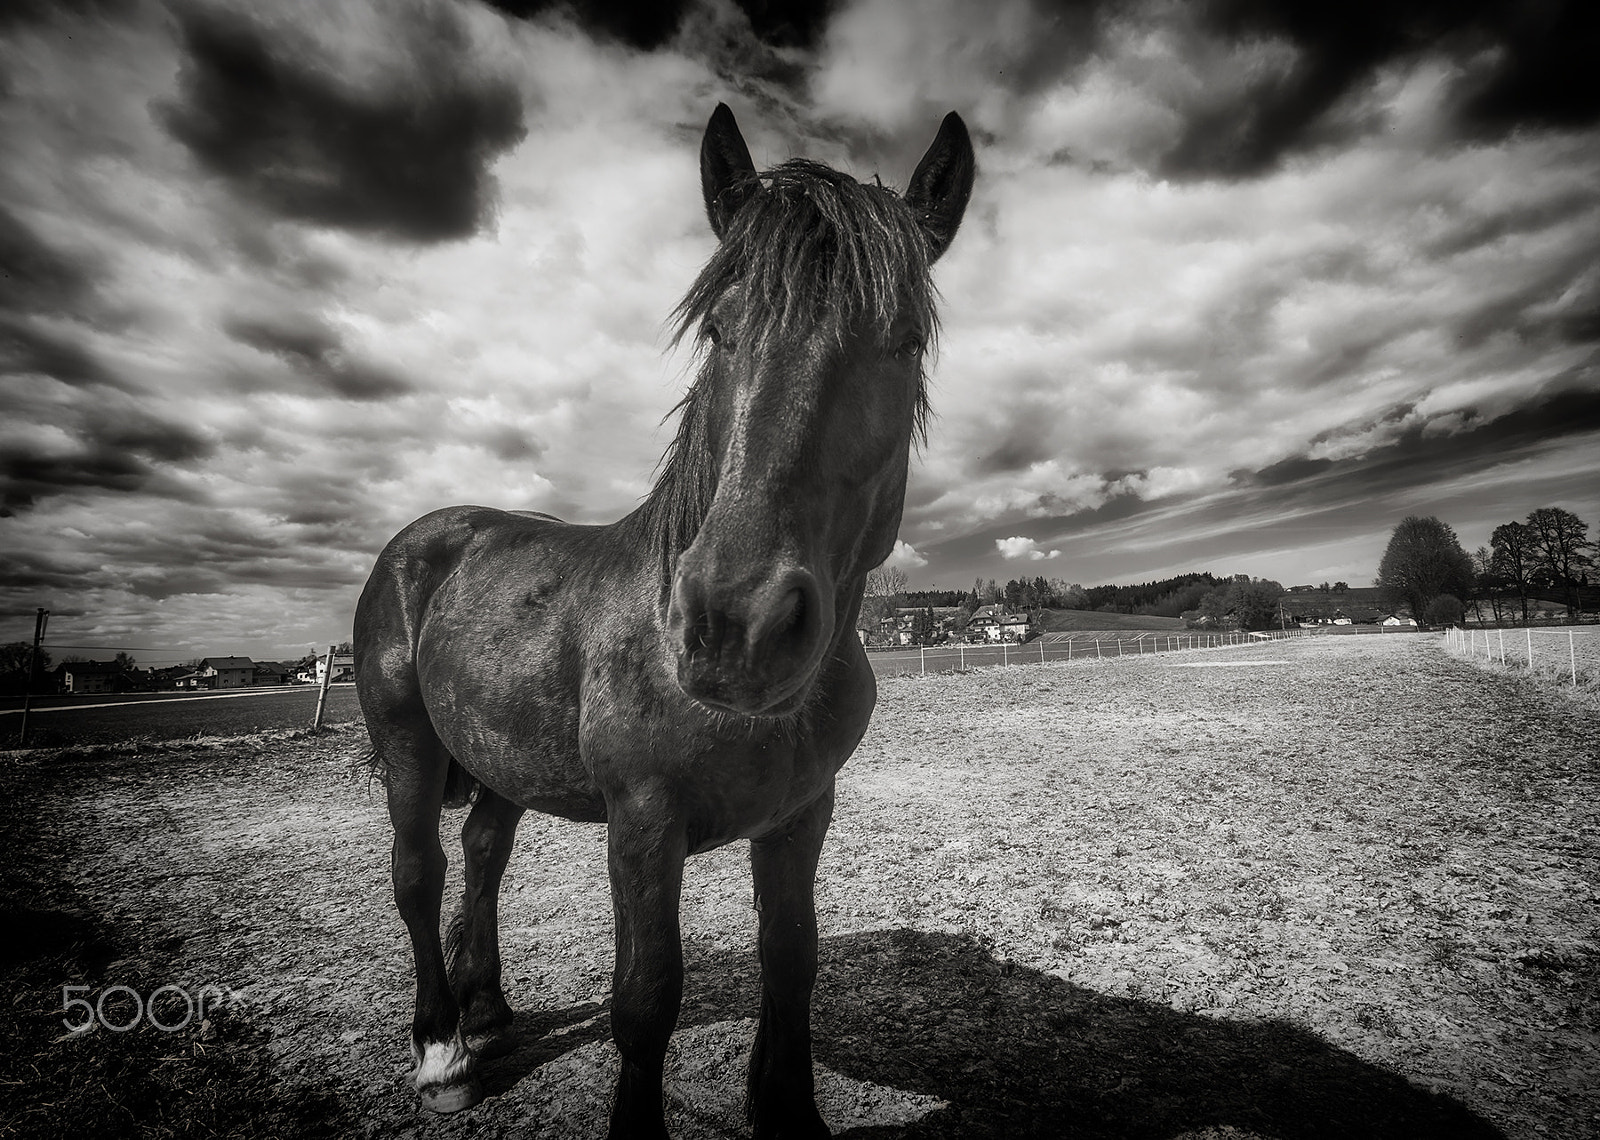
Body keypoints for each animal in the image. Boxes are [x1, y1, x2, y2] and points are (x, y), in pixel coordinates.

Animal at [353, 102, 974, 1138]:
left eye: (904, 342)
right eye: (720, 330)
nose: (737, 624)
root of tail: (425, 539)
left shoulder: (802, 814)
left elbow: (790, 963)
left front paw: (788, 1111)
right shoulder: (643, 825)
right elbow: (645, 1001)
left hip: (500, 754)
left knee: (483, 853)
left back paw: (488, 1013)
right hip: (406, 740)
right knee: (419, 872)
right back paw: (443, 1053)